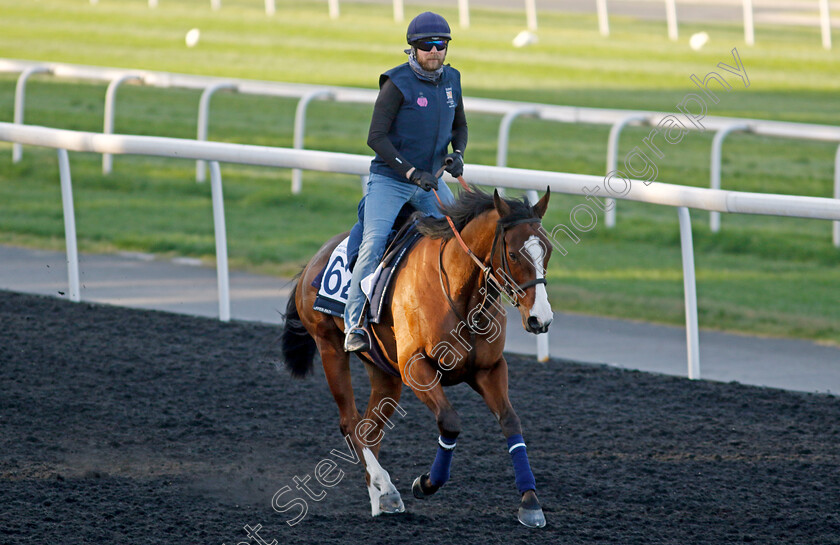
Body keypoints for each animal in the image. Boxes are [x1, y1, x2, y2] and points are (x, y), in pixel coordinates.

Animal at [280, 185, 552, 524]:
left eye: (547, 251)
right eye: (514, 254)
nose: (540, 318)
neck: (460, 293)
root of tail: (313, 262)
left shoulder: (488, 369)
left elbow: (511, 422)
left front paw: (530, 502)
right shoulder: (416, 367)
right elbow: (450, 422)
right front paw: (426, 483)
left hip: (384, 371)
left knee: (369, 428)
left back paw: (381, 498)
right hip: (330, 346)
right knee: (350, 423)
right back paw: (384, 485)